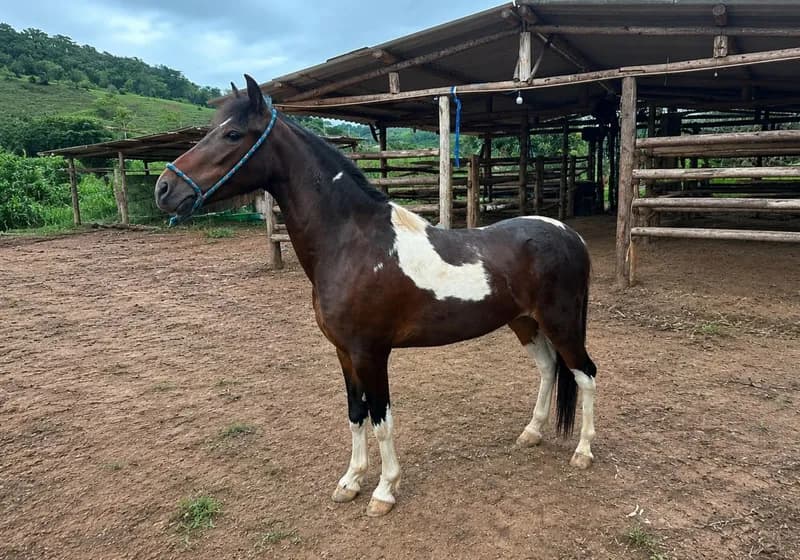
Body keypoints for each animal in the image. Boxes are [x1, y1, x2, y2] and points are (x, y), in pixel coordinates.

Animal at [155, 75, 597, 517]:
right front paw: (350, 481)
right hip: (525, 322)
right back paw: (531, 433)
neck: (354, 244)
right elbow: (356, 414)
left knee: (585, 374)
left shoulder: (371, 352)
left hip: (560, 323)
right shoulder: (344, 352)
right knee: (548, 369)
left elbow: (382, 419)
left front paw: (384, 490)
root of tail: (569, 235)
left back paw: (583, 451)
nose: (164, 188)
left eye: (232, 134)